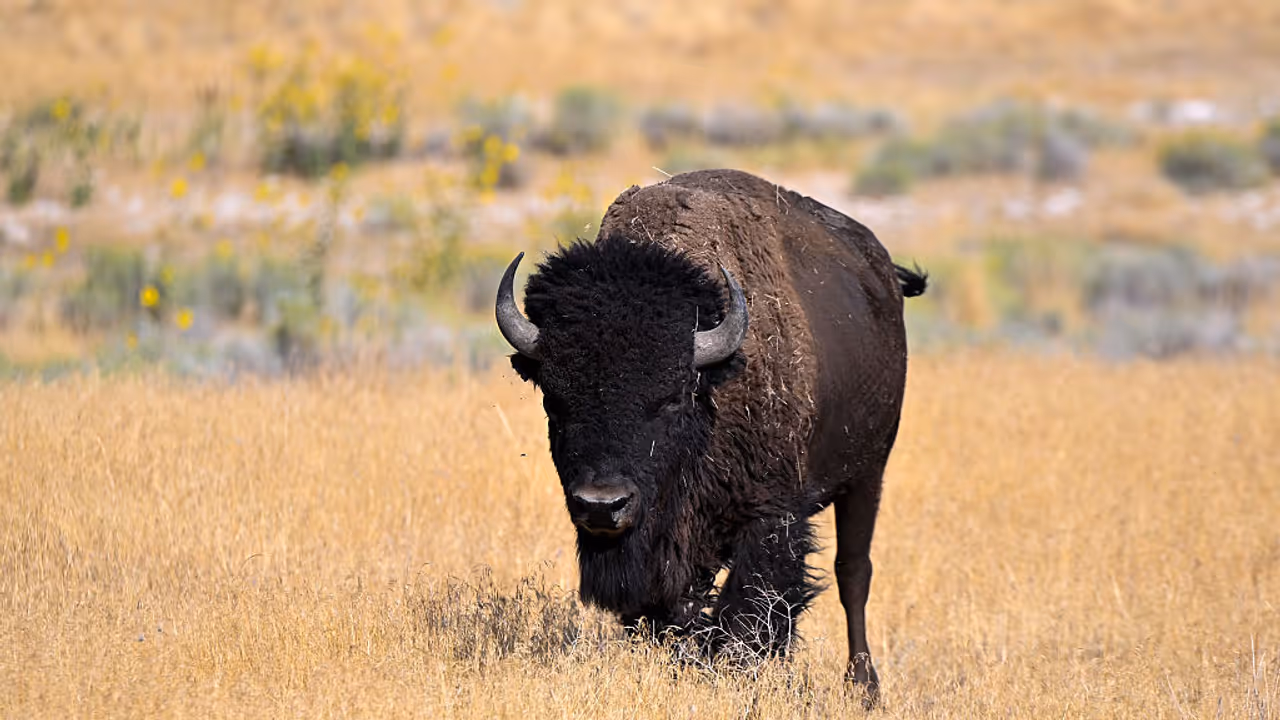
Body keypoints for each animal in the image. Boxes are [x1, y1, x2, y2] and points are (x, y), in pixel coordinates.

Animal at [496, 169, 925, 703]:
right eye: (555, 400)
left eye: (671, 398)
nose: (601, 505)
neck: (713, 381)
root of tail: (882, 270)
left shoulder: (771, 518)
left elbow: (748, 613)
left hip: (868, 474)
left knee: (853, 572)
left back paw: (864, 686)